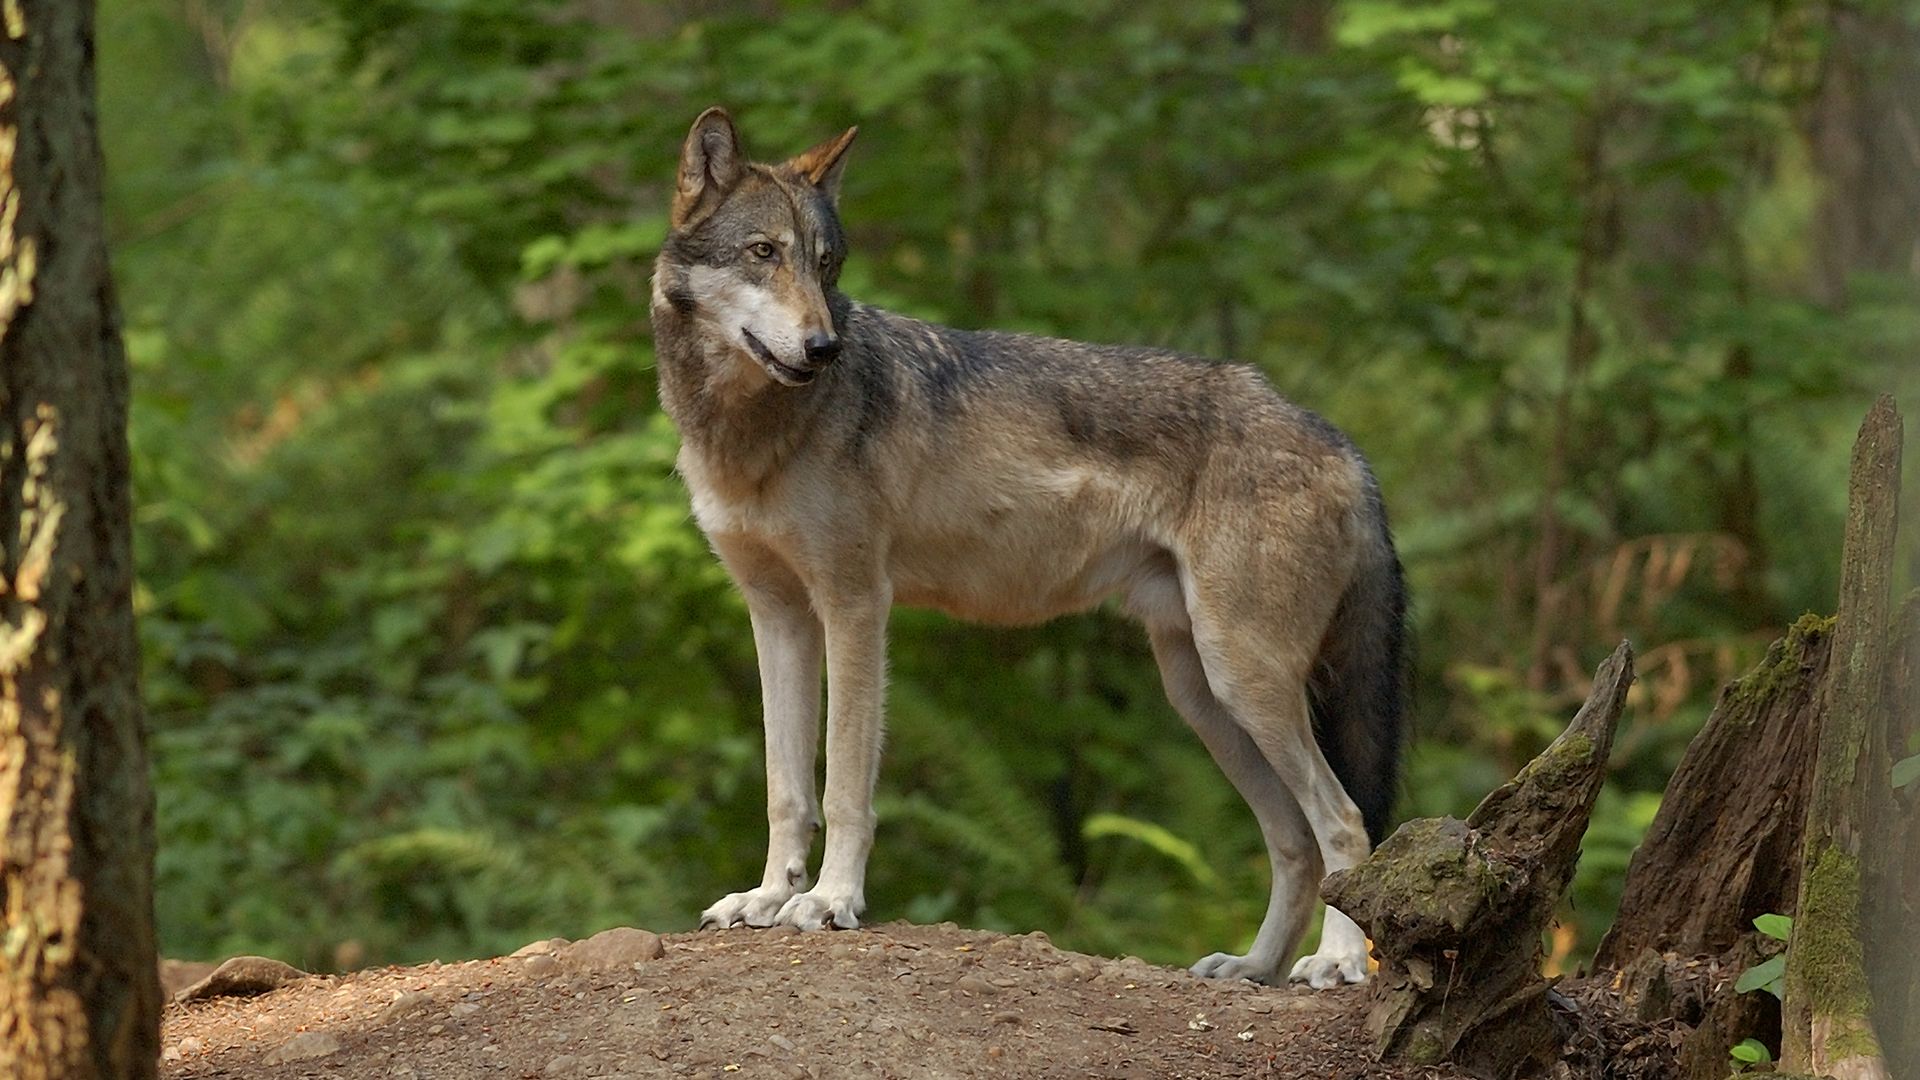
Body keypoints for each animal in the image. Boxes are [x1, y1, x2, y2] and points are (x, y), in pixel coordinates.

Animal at [648, 107, 1410, 988]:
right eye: (763, 253)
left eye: (826, 263)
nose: (823, 347)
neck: (750, 430)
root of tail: (1338, 439)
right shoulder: (778, 618)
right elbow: (785, 788)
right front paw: (769, 898)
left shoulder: (855, 605)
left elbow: (843, 785)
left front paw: (830, 901)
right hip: (1203, 695)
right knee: (1293, 840)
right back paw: (1252, 967)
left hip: (1244, 682)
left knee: (1345, 819)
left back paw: (1337, 963)